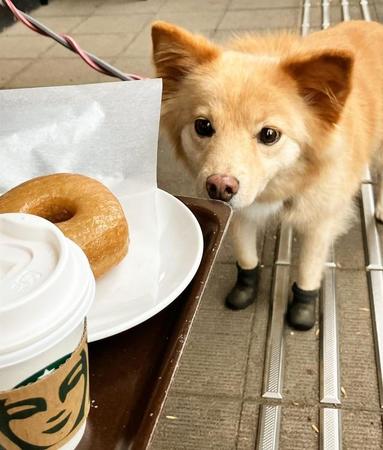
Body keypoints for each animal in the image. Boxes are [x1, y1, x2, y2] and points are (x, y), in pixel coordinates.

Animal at [152, 20, 383, 330]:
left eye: (269, 134)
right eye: (203, 126)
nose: (219, 187)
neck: (279, 187)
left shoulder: (321, 220)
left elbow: (308, 267)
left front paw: (303, 306)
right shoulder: (241, 213)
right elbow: (246, 255)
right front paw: (245, 287)